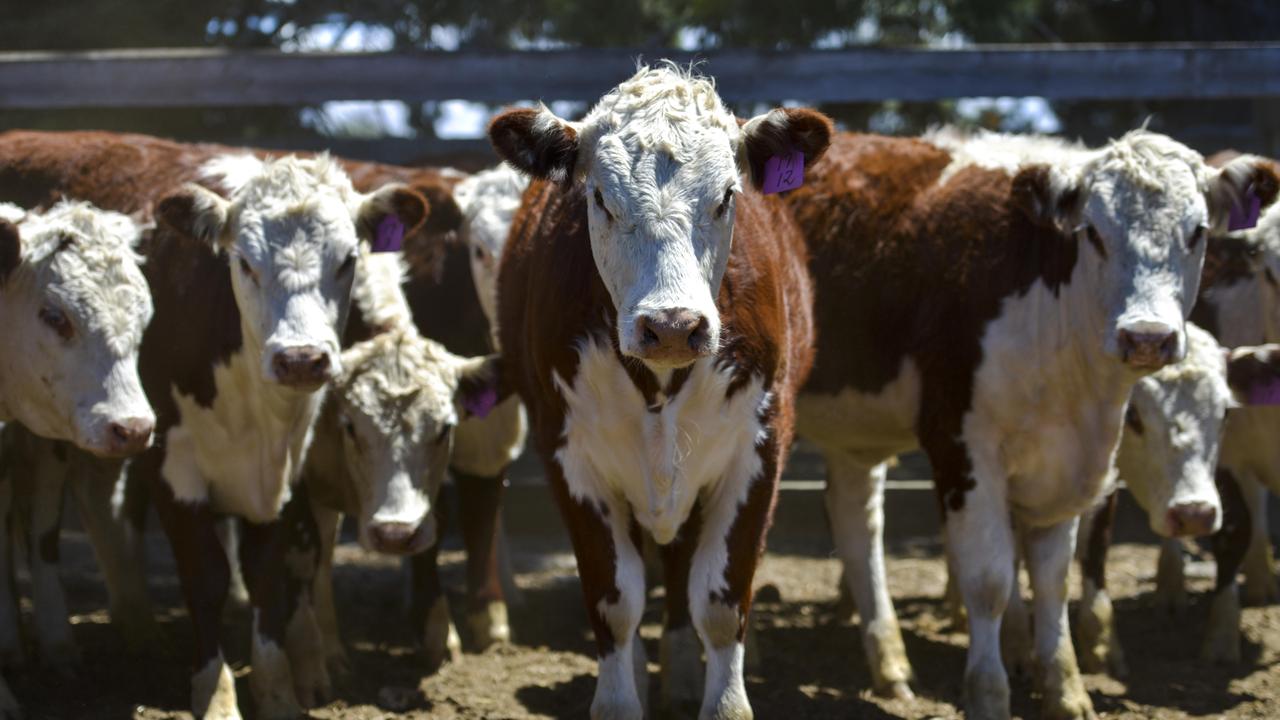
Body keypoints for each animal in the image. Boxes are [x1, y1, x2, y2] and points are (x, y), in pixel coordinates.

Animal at [488, 64, 831, 719]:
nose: (672, 324)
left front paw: (721, 698)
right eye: (599, 197)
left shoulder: (759, 446)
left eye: (727, 196)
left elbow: (721, 603)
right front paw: (623, 696)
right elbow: (615, 599)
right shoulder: (567, 452)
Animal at [783, 127, 1279, 719]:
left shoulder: (1067, 463)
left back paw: (891, 667)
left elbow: (1052, 581)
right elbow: (991, 580)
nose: (1147, 337)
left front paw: (1067, 692)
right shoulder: (963, 449)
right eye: (1094, 233)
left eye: (1197, 231)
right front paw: (990, 694)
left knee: (856, 523)